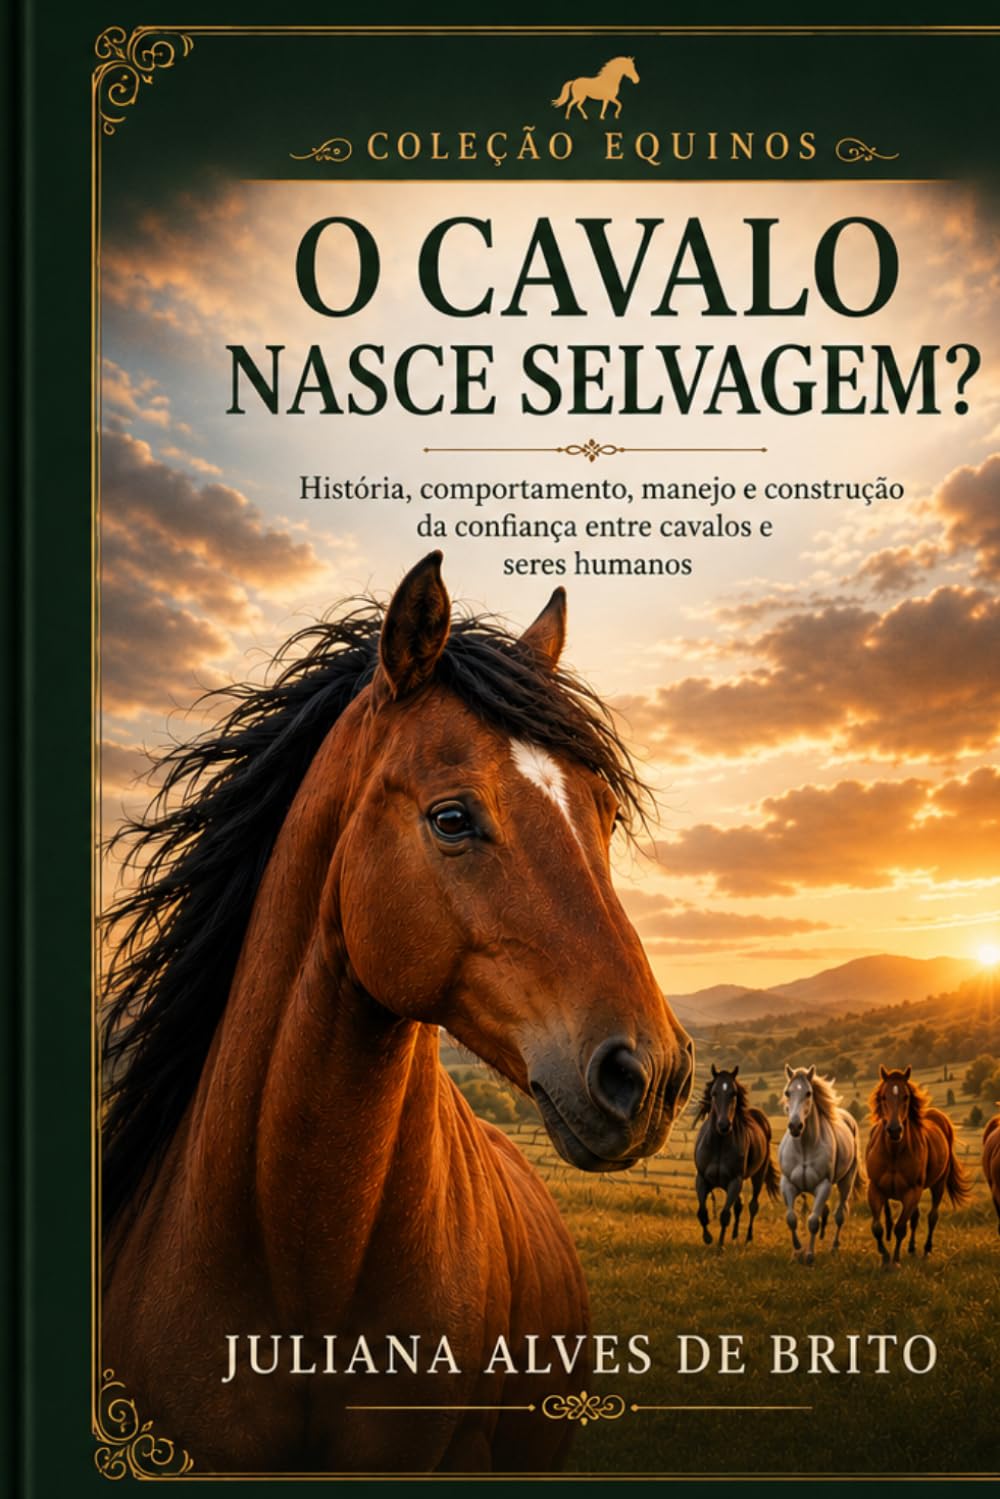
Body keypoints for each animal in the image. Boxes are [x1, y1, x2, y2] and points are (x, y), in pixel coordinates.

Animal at [692, 1064, 779, 1250]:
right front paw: (708, 1238)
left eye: (734, 1093)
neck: (719, 1144)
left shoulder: (734, 1181)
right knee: (739, 1206)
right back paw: (734, 1235)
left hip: (757, 1176)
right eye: (714, 1093)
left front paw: (719, 1245)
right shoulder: (702, 1179)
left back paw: (747, 1238)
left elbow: (725, 1215)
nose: (724, 1125)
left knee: (752, 1206)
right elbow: (702, 1212)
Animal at [778, 1065, 861, 1263]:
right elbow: (791, 1218)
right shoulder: (787, 1184)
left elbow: (813, 1221)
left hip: (846, 1181)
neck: (804, 1147)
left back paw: (834, 1247)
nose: (795, 1126)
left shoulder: (823, 1185)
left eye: (808, 1093)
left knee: (840, 1214)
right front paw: (797, 1250)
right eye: (787, 1092)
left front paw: (809, 1255)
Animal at [866, 1066, 972, 1266]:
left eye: (906, 1096)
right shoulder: (875, 1189)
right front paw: (884, 1256)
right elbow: (877, 1228)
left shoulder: (912, 1192)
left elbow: (900, 1228)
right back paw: (912, 1248)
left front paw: (895, 1261)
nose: (894, 1130)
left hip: (938, 1185)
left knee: (932, 1217)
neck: (893, 1152)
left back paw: (926, 1249)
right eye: (883, 1097)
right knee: (915, 1218)